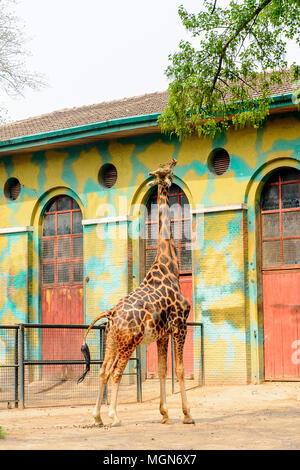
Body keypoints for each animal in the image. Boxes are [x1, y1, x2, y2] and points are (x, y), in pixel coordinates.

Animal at [78, 158, 195, 426]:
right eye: (167, 169)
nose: (175, 160)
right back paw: (114, 416)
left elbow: (162, 370)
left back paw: (97, 417)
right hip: (129, 341)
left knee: (103, 371)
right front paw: (187, 414)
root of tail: (111, 314)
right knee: (116, 372)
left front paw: (165, 414)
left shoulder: (163, 333)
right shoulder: (180, 324)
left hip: (112, 340)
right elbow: (180, 369)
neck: (169, 266)